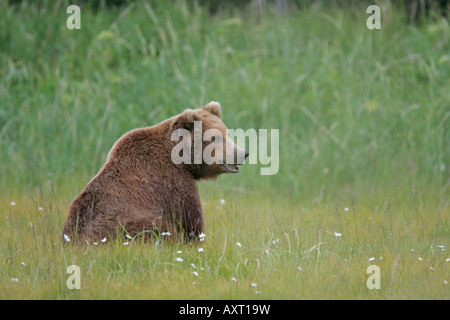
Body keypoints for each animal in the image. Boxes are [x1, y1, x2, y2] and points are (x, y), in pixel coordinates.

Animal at [61, 101, 248, 244]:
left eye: (227, 133)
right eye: (216, 137)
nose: (242, 153)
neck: (182, 159)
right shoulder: (172, 182)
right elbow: (189, 220)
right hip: (123, 224)